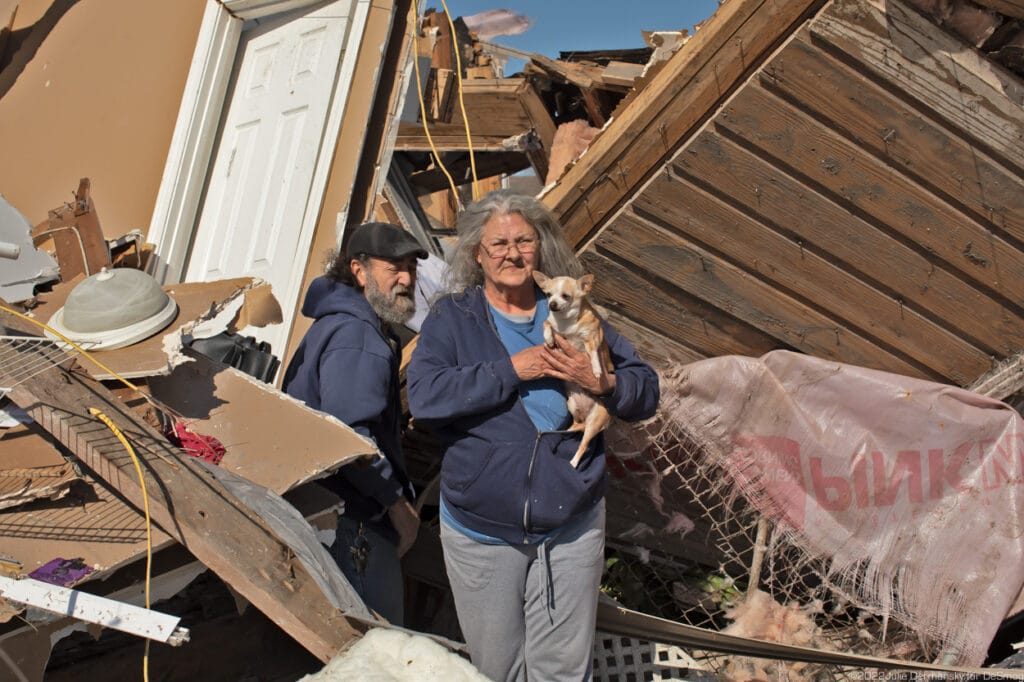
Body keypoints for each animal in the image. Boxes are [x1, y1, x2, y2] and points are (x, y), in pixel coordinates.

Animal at [532, 270, 610, 466]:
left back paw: (573, 463)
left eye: (565, 296)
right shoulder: (550, 323)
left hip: (594, 424)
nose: (552, 304)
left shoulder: (593, 338)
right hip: (572, 405)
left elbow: (594, 354)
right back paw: (565, 431)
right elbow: (547, 325)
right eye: (548, 295)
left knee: (583, 445)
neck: (565, 322)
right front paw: (549, 339)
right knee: (576, 424)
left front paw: (596, 370)